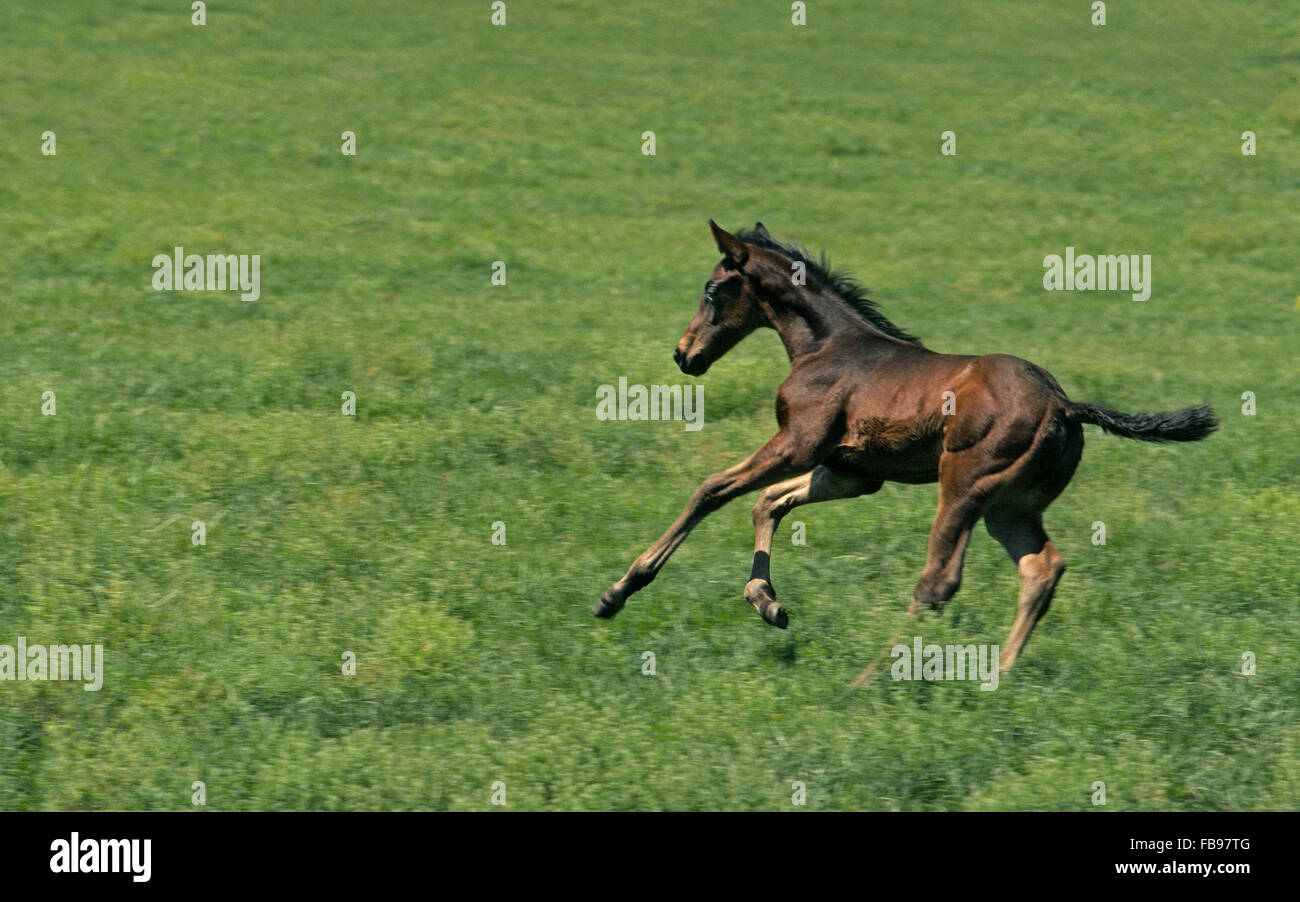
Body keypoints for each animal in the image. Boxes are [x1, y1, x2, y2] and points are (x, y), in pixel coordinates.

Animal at [598, 222, 1216, 675]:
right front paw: (768, 603)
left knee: (939, 581)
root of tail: (1064, 405)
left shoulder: (798, 445)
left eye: (712, 291)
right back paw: (998, 678)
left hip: (965, 486)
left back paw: (869, 680)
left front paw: (619, 590)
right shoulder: (849, 472)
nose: (685, 355)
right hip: (1012, 507)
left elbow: (712, 490)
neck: (825, 347)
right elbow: (768, 503)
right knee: (1043, 568)